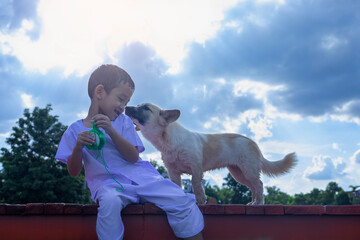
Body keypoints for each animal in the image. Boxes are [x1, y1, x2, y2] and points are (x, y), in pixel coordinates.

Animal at [125, 103, 296, 204]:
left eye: (146, 108)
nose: (126, 107)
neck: (168, 141)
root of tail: (253, 142)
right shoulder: (172, 171)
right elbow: (177, 186)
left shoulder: (196, 168)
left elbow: (196, 185)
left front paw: (201, 201)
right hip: (239, 174)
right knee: (254, 187)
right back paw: (253, 203)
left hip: (248, 170)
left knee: (259, 185)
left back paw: (259, 203)